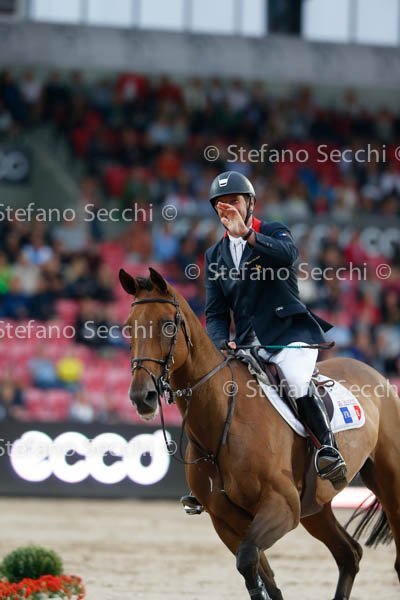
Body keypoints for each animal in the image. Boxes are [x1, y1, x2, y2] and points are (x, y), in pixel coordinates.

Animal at [119, 266, 400, 600]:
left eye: (167, 325)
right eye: (128, 328)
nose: (142, 397)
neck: (222, 421)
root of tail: (375, 373)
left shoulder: (281, 506)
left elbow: (248, 559)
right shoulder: (225, 520)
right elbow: (259, 574)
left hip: (389, 481)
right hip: (315, 506)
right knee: (349, 553)